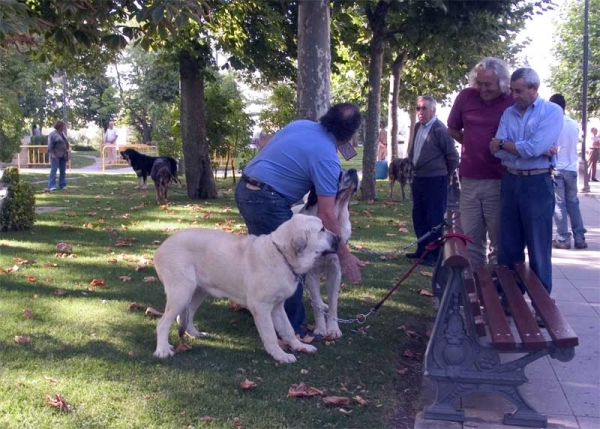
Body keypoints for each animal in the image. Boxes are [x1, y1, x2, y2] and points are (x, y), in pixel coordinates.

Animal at [152, 213, 340, 362]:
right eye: (322, 229)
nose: (338, 238)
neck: (282, 255)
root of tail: (160, 249)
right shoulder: (261, 307)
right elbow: (271, 334)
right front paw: (280, 355)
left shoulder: (277, 306)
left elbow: (287, 329)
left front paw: (300, 346)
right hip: (182, 292)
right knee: (163, 323)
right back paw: (162, 350)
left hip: (198, 291)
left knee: (186, 315)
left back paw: (195, 333)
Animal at [292, 167, 358, 338]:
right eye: (338, 173)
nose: (353, 170)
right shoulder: (312, 273)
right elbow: (315, 304)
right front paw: (321, 329)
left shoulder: (335, 271)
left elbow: (333, 302)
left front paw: (333, 329)